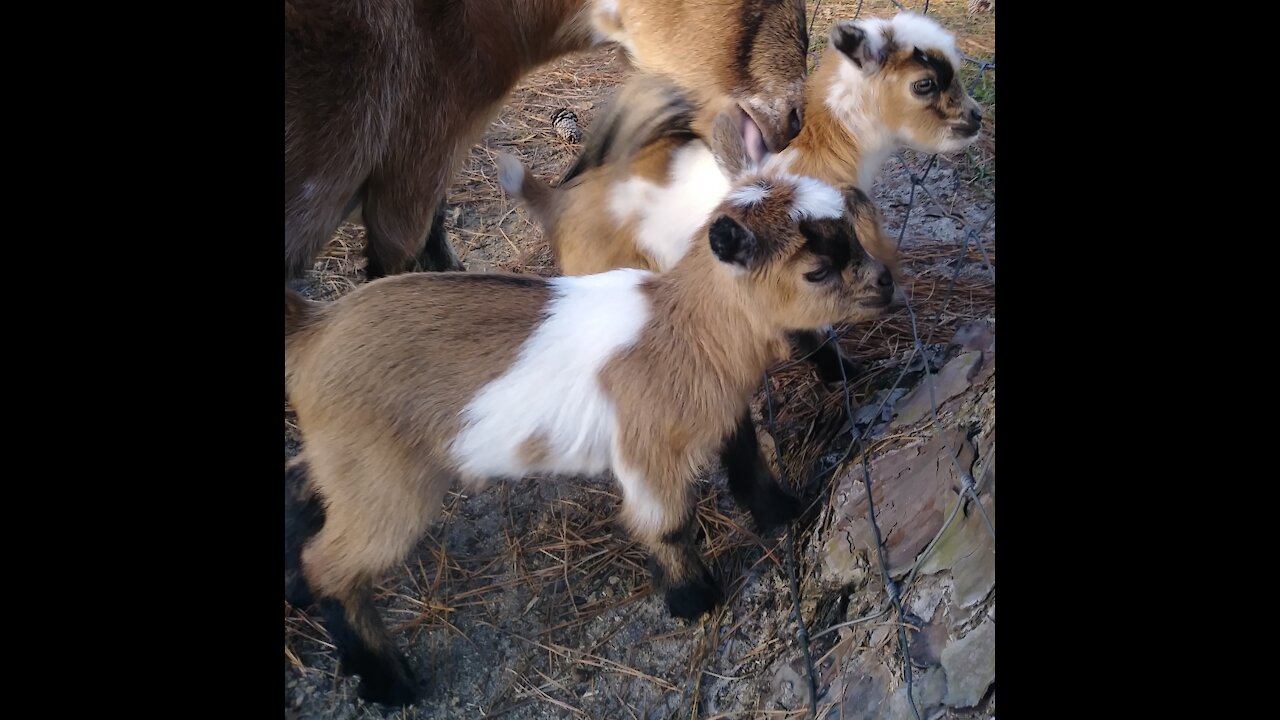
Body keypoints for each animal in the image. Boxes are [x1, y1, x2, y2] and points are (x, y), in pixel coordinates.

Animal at [285, 110, 896, 702]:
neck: (684, 328)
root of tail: (317, 328)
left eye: (850, 233)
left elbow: (749, 464)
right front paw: (693, 599)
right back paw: (389, 683)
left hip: (346, 459)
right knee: (331, 566)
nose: (887, 283)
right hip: (387, 484)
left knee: (308, 501)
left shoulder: (722, 412)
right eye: (816, 270)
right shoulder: (646, 454)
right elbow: (666, 524)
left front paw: (783, 513)